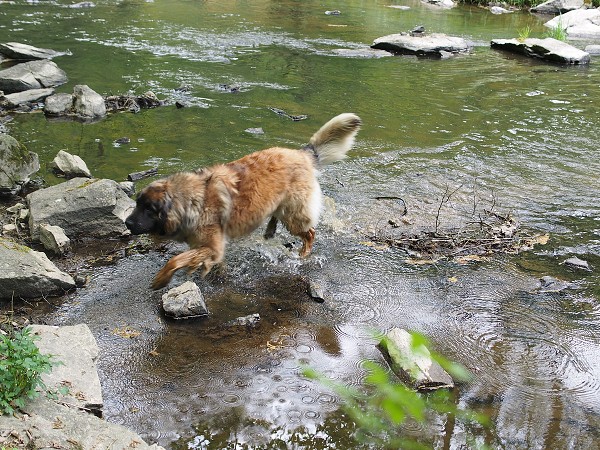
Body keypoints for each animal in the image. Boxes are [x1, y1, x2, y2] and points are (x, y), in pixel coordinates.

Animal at [125, 112, 360, 288]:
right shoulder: (209, 246)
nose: (127, 223)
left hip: (294, 215)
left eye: (149, 209)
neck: (192, 201)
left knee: (310, 233)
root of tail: (301, 154)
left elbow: (176, 259)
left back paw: (302, 255)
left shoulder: (212, 245)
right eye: (137, 204)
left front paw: (161, 279)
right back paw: (270, 230)